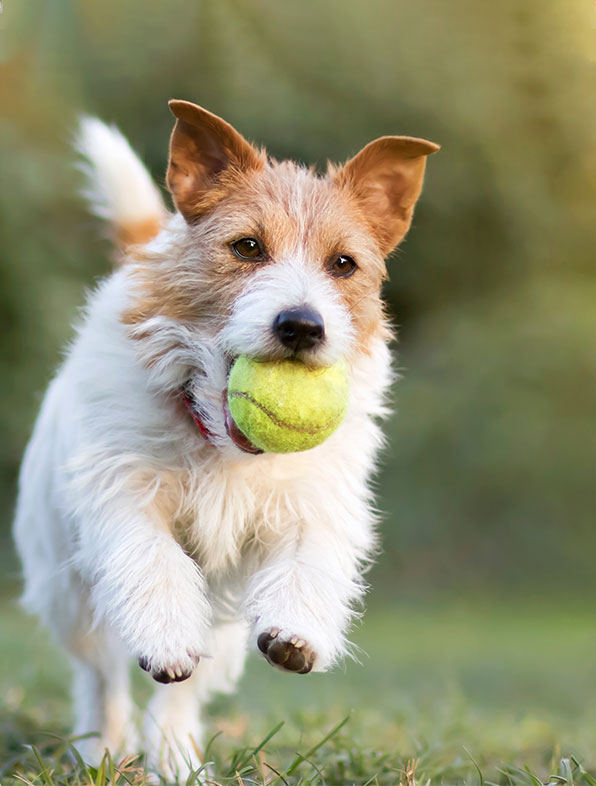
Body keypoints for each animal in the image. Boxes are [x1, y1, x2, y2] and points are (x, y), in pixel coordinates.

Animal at [11, 101, 436, 776]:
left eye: (343, 263)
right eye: (247, 247)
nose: (301, 325)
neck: (219, 442)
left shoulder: (310, 501)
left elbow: (310, 556)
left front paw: (297, 630)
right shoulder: (122, 489)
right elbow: (151, 558)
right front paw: (163, 636)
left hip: (222, 621)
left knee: (184, 694)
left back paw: (176, 759)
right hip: (68, 588)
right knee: (101, 673)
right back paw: (103, 747)